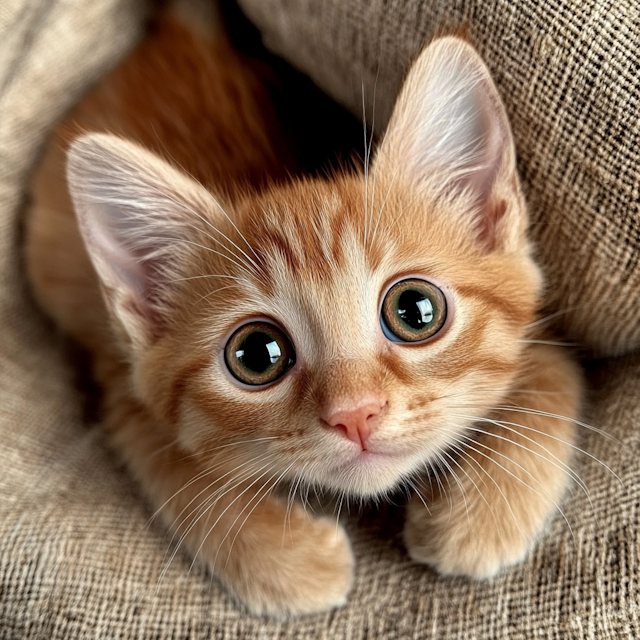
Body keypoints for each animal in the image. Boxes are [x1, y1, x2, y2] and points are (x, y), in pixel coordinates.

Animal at [26, 0, 580, 616]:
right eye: (256, 354)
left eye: (415, 310)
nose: (356, 414)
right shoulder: (119, 379)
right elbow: (171, 461)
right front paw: (284, 557)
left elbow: (548, 375)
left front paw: (484, 510)